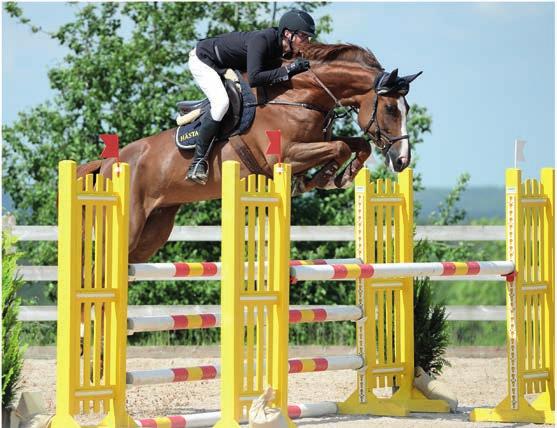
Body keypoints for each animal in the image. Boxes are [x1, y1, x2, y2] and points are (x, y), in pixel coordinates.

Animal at [76, 44, 420, 264]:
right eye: (390, 109)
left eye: (406, 108)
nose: (402, 160)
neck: (301, 96)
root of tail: (109, 162)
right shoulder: (284, 156)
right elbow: (340, 146)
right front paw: (323, 177)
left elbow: (357, 144)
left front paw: (339, 175)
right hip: (129, 225)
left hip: (155, 229)